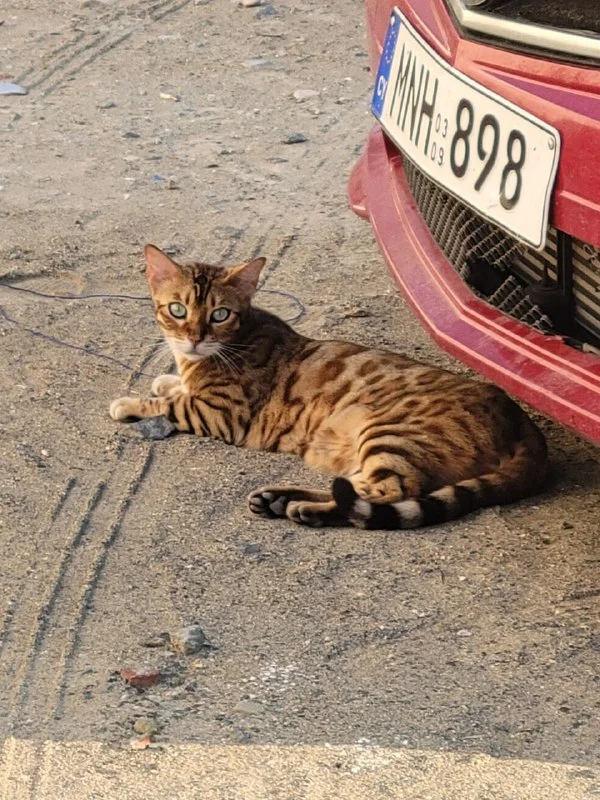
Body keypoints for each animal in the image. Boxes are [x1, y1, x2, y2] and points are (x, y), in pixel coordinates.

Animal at [109, 244, 548, 530]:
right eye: (177, 309)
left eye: (219, 314)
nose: (195, 338)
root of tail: (521, 420)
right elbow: (174, 386)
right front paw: (167, 380)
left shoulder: (222, 413)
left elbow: (170, 404)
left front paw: (132, 402)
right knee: (353, 487)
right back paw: (280, 499)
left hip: (392, 434)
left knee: (388, 493)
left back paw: (303, 508)